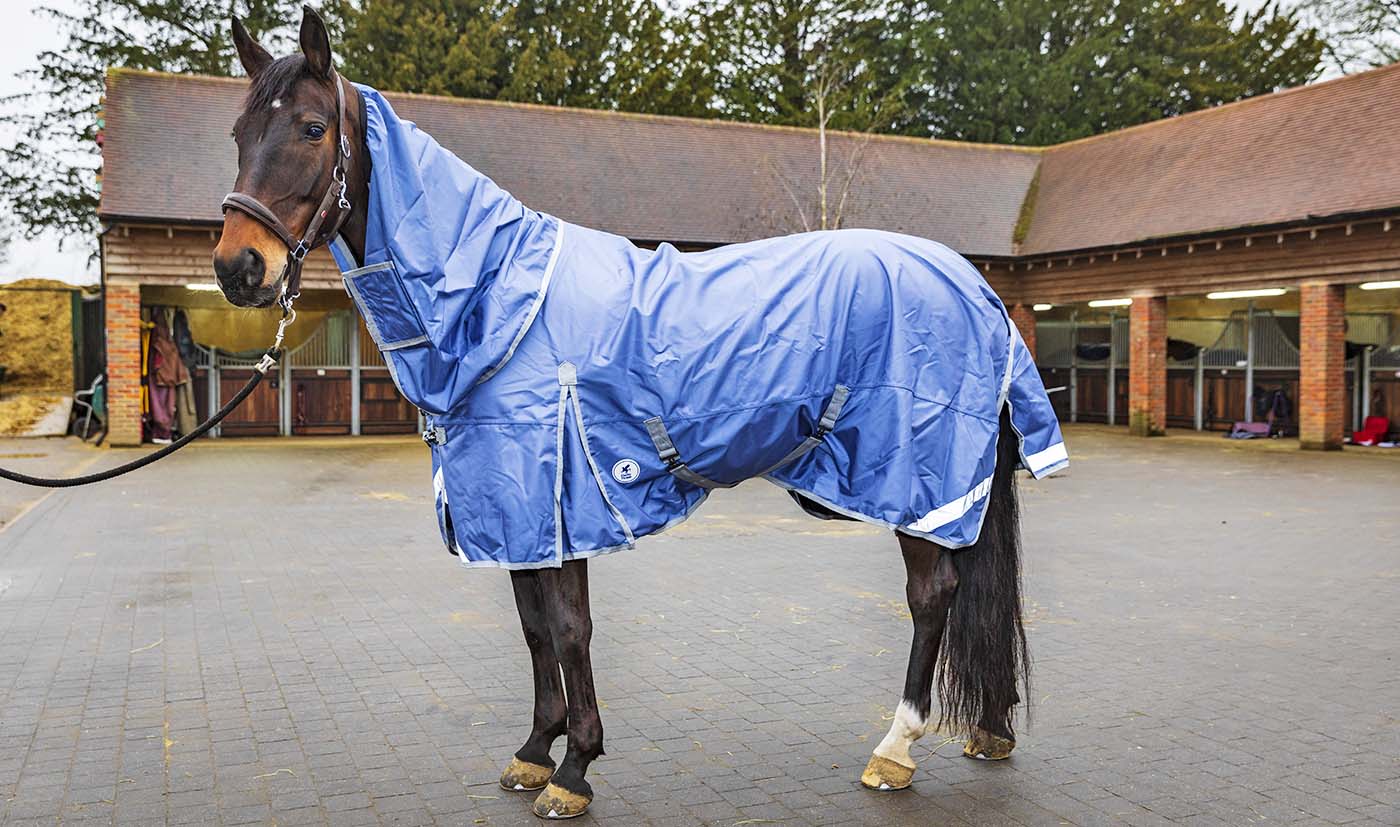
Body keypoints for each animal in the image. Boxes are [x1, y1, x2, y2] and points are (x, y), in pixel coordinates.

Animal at [213, 8, 1065, 819]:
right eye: (239, 133)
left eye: (311, 128)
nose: (239, 266)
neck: (497, 298)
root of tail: (974, 285)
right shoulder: (517, 508)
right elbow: (532, 626)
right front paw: (534, 749)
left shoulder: (560, 495)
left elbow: (568, 628)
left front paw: (575, 769)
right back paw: (989, 730)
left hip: (918, 481)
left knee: (933, 596)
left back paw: (895, 748)